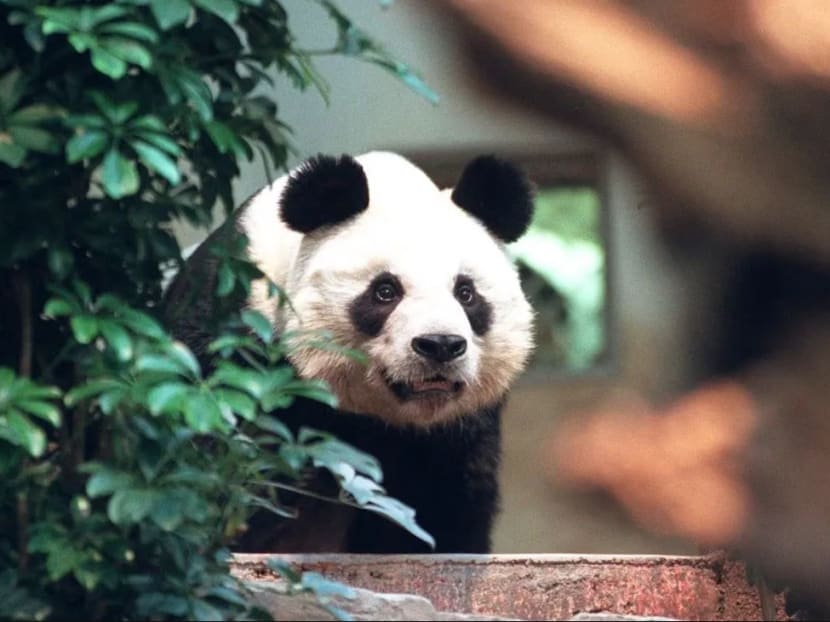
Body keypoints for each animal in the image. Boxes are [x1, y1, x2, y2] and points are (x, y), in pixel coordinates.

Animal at [162, 151, 535, 553]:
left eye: (466, 293)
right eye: (385, 291)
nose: (440, 345)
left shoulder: (456, 427)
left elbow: (447, 497)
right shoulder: (233, 313)